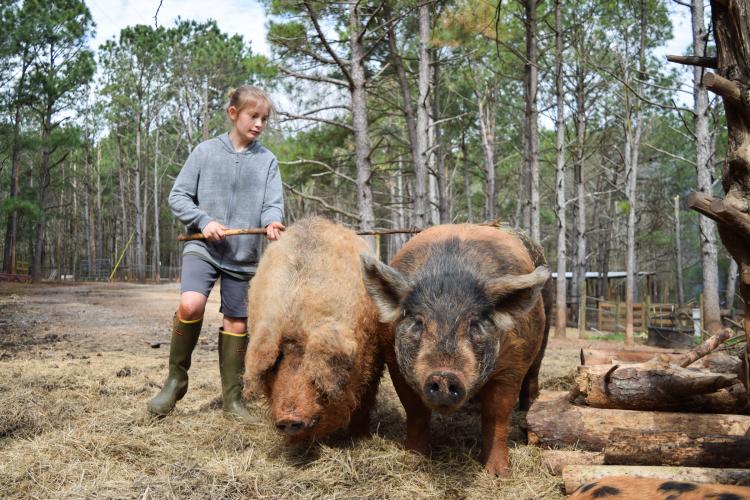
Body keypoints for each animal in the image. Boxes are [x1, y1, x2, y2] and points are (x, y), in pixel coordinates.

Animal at [361, 223, 551, 476]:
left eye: (475, 323)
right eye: (418, 322)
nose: (443, 376)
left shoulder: (513, 364)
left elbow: (497, 416)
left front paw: (498, 474)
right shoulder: (394, 361)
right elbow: (415, 412)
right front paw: (414, 461)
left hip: (543, 339)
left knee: (532, 380)